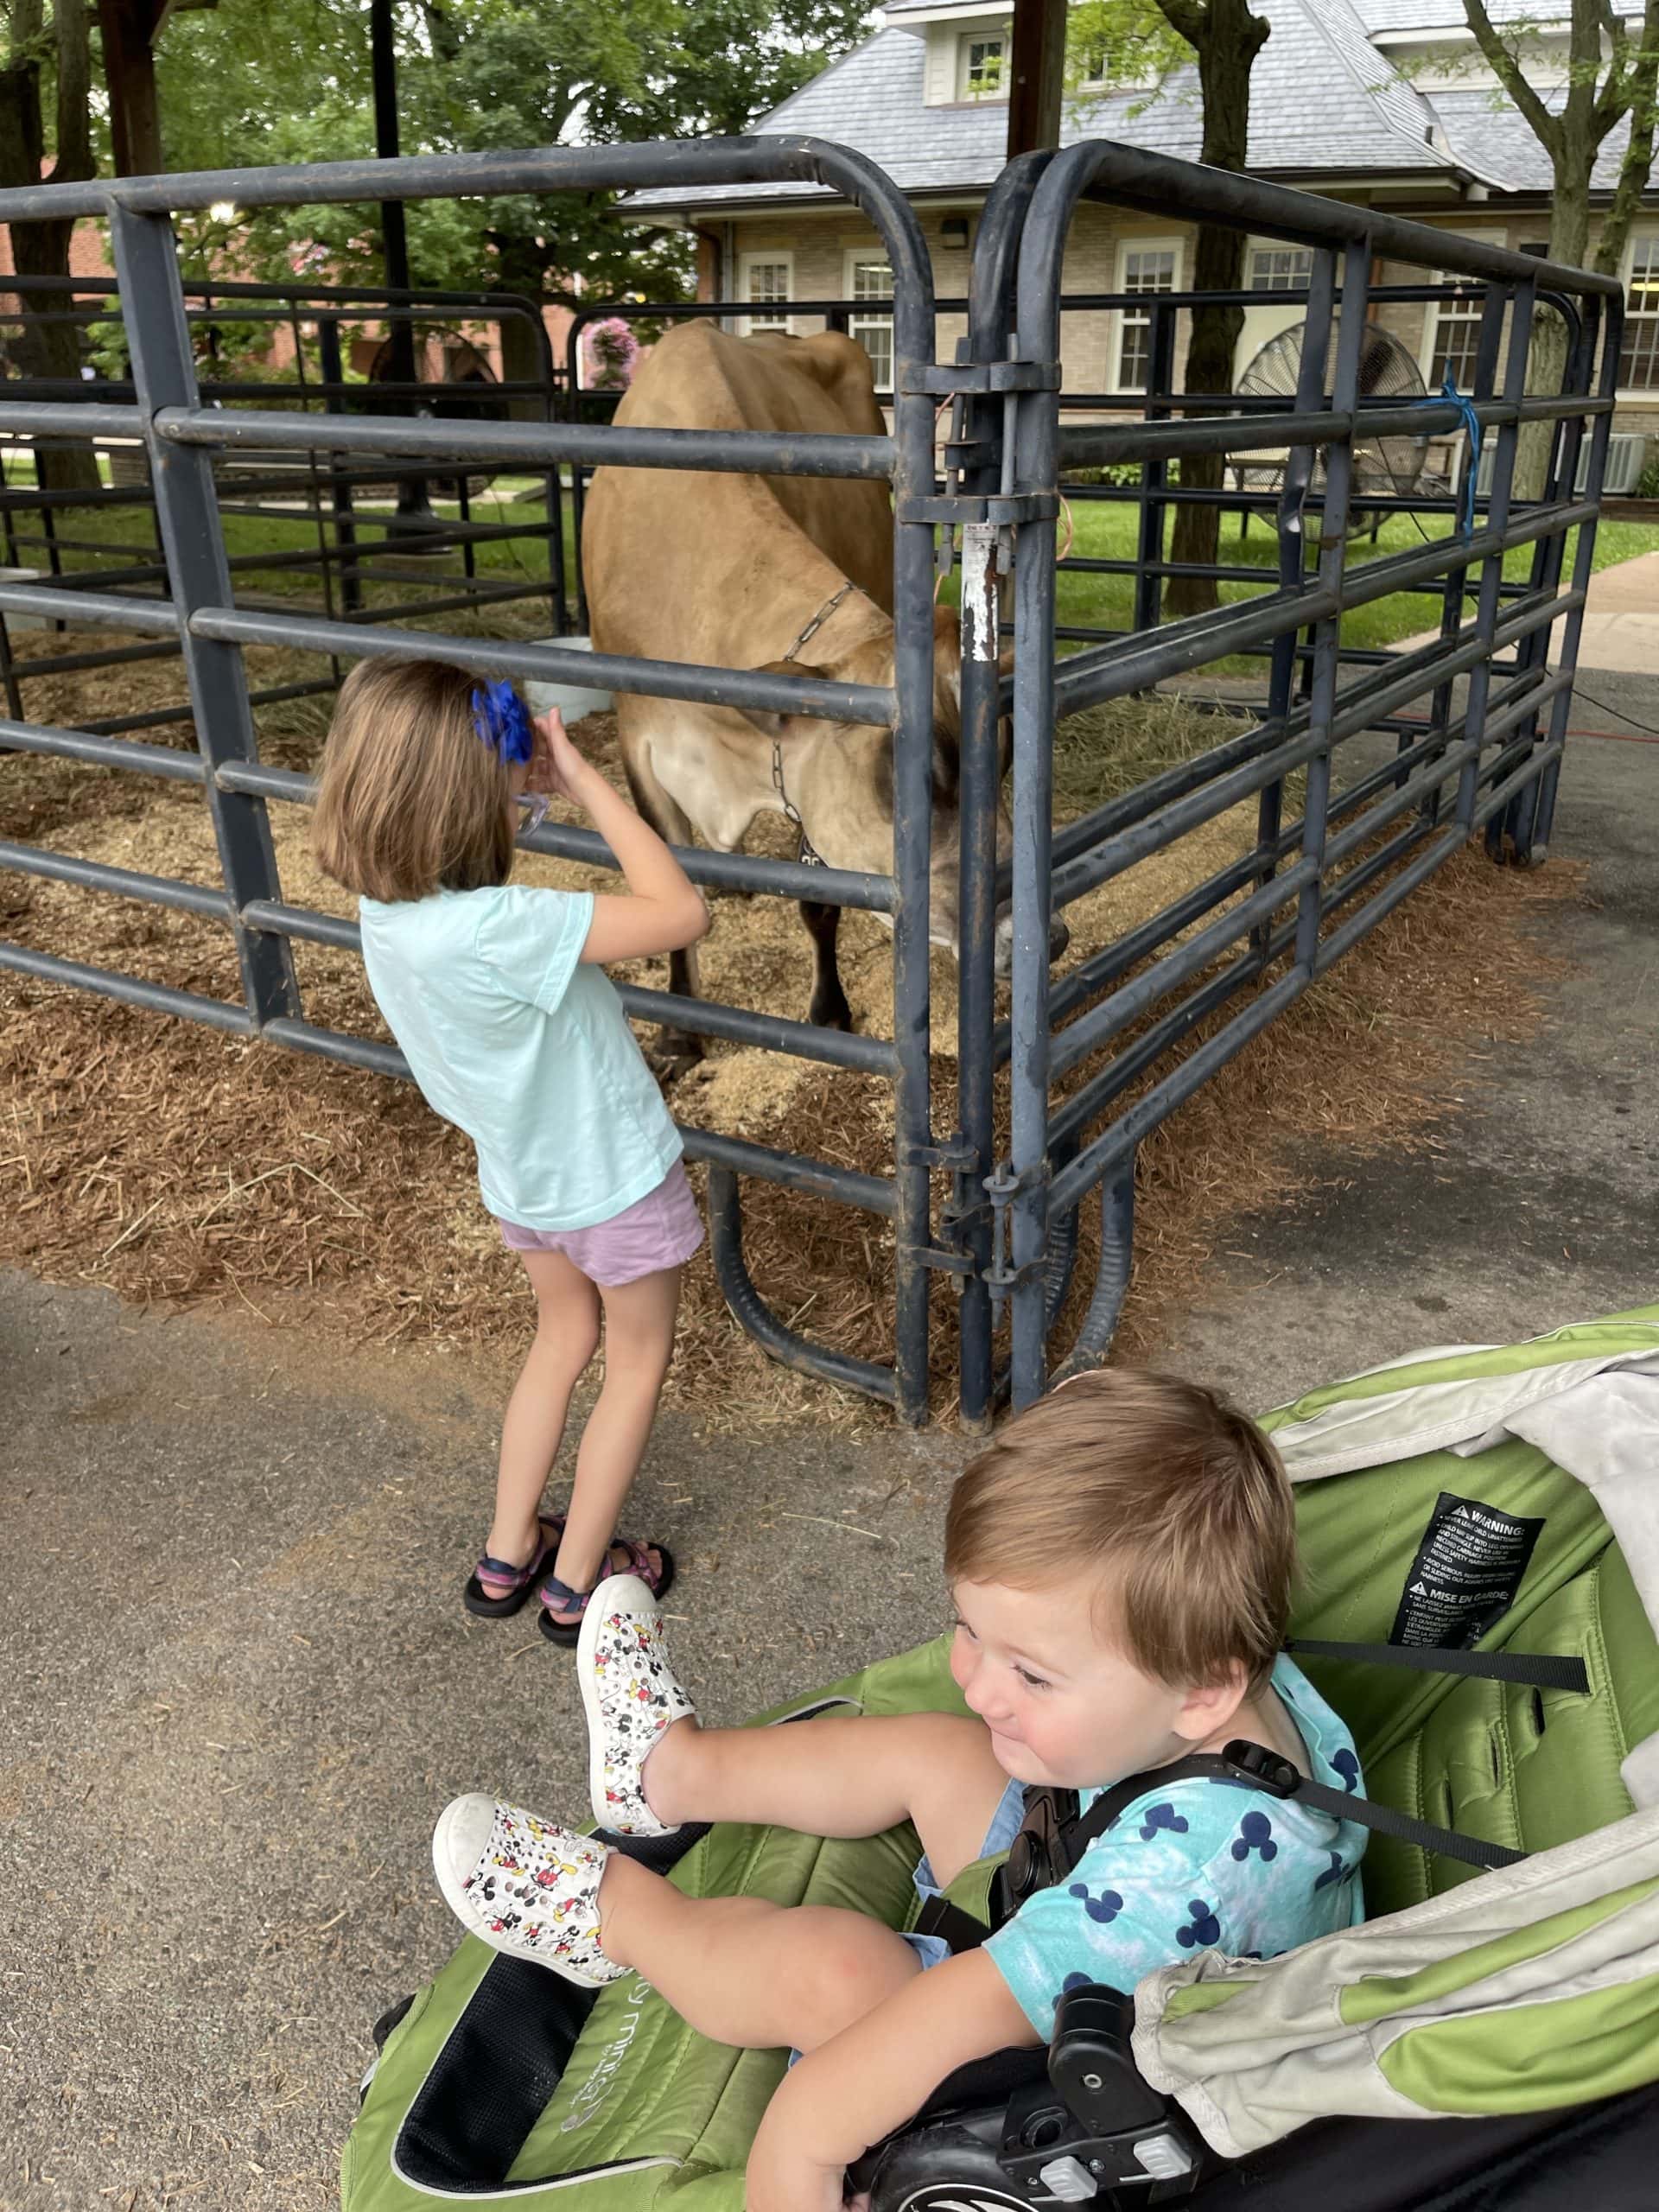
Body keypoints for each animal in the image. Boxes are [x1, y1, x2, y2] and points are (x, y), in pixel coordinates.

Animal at [579, 318, 1065, 1061]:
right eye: (905, 782)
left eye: (1007, 758)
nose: (1046, 937)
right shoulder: (639, 740)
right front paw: (680, 1031)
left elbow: (818, 896)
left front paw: (829, 1010)